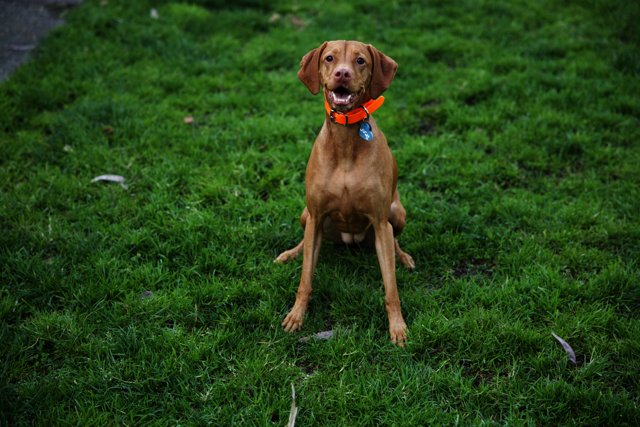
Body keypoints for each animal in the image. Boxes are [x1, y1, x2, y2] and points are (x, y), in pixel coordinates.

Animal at [276, 40, 416, 346]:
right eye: (329, 58)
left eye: (360, 60)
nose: (342, 73)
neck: (345, 141)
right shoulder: (316, 215)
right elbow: (305, 279)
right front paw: (296, 316)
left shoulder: (379, 221)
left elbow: (391, 288)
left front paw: (398, 327)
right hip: (306, 216)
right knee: (305, 240)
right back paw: (290, 253)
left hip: (396, 213)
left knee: (394, 238)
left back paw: (403, 257)